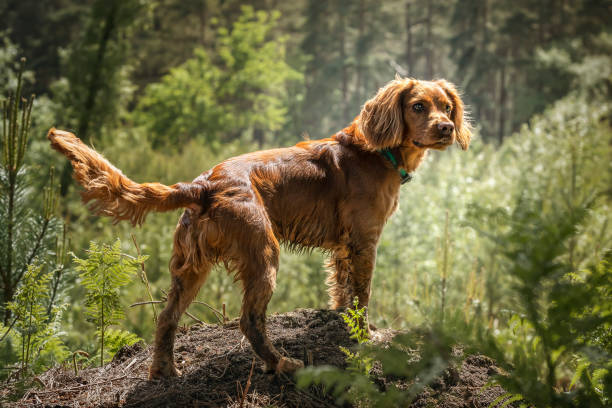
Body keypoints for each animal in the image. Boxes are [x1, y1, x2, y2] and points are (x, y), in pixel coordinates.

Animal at [47, 77, 470, 380]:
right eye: (418, 106)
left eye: (447, 107)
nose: (446, 128)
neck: (376, 152)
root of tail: (203, 185)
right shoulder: (365, 242)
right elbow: (361, 297)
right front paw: (366, 336)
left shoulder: (343, 248)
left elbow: (342, 291)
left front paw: (341, 322)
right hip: (263, 254)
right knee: (249, 319)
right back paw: (281, 364)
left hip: (192, 267)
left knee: (166, 318)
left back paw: (164, 371)